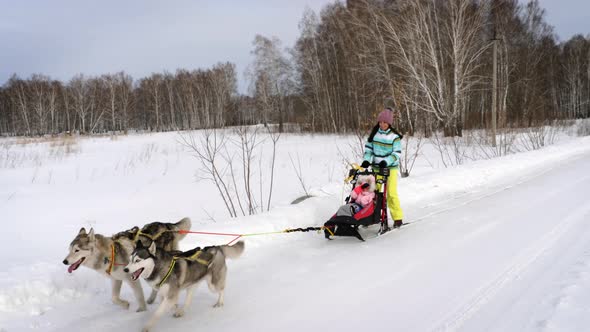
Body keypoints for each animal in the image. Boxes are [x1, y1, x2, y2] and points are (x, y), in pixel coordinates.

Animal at [65, 218, 194, 312]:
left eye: (77, 250)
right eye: (69, 250)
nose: (64, 261)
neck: (108, 255)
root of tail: (167, 225)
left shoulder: (131, 278)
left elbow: (139, 296)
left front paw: (141, 311)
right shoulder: (116, 279)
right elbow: (114, 298)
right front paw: (125, 304)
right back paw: (152, 299)